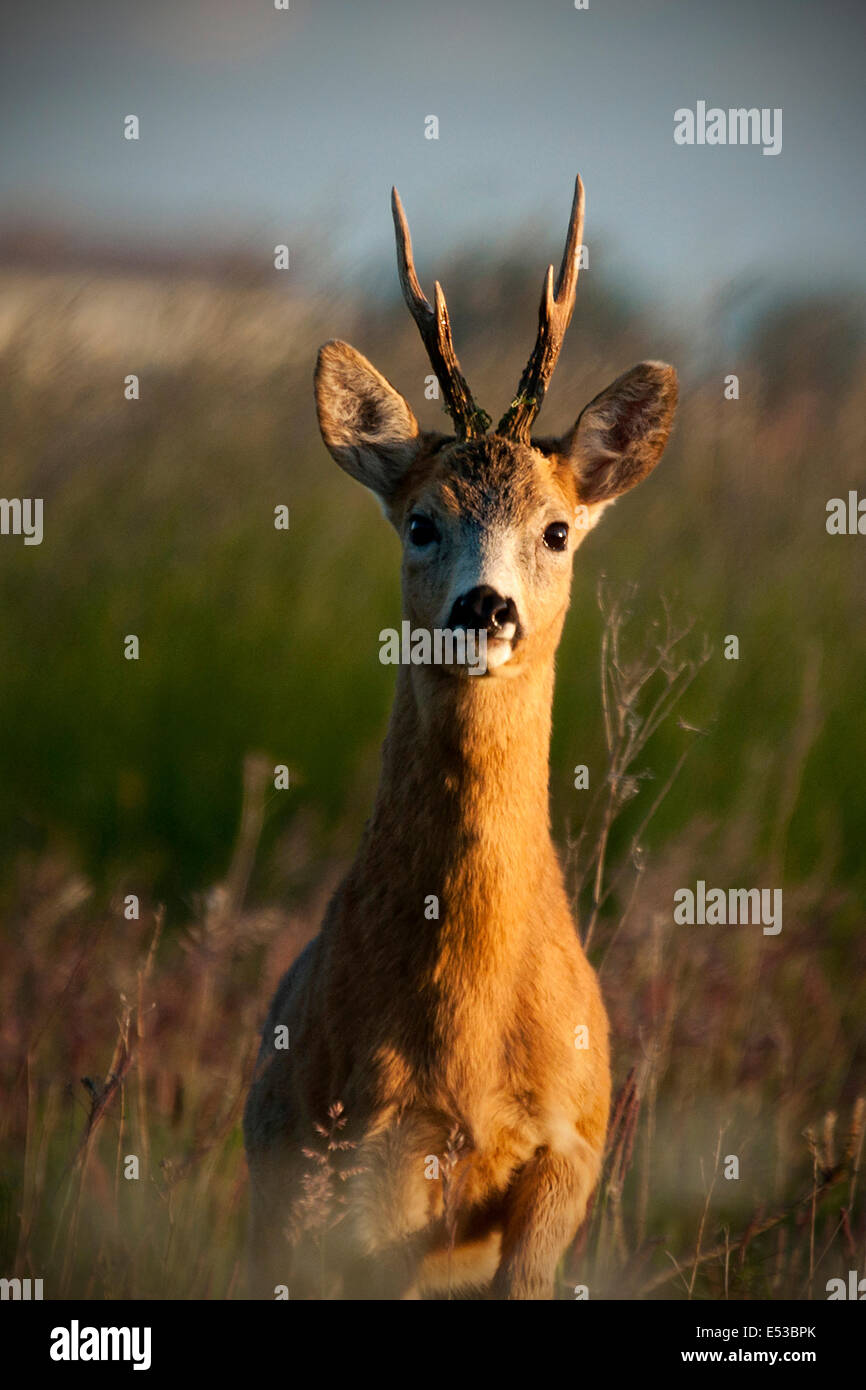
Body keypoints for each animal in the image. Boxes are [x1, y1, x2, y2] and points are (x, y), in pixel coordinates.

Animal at [243, 175, 678, 1300]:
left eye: (557, 528)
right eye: (419, 521)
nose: (485, 609)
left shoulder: (570, 1151)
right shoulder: (375, 1155)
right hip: (277, 1175)